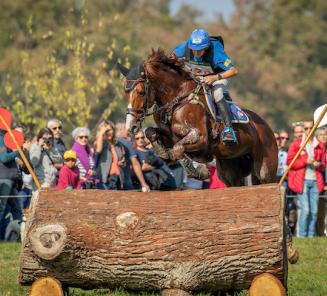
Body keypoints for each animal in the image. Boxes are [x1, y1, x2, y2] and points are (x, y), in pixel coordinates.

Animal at [117, 49, 276, 186]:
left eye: (141, 92)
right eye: (126, 93)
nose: (131, 126)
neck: (178, 99)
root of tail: (267, 128)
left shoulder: (200, 138)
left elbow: (178, 148)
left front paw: (199, 172)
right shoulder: (170, 136)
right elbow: (151, 131)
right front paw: (163, 154)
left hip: (265, 169)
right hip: (230, 167)